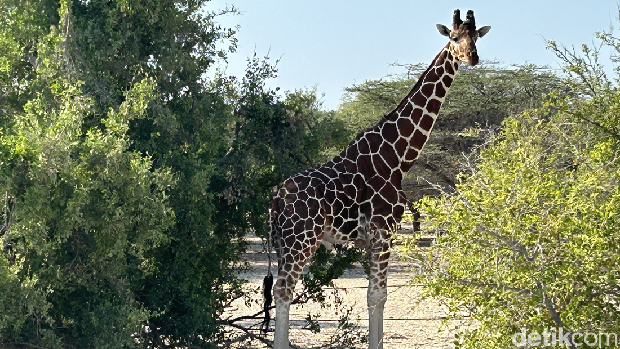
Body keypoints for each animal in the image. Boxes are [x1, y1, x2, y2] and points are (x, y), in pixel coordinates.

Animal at [266, 8, 490, 348]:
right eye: (453, 37)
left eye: (476, 36)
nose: (472, 57)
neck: (397, 158)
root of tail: (276, 201)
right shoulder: (384, 231)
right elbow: (377, 296)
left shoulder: (372, 237)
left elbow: (375, 296)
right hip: (300, 241)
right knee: (283, 291)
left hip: (283, 243)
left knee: (280, 290)